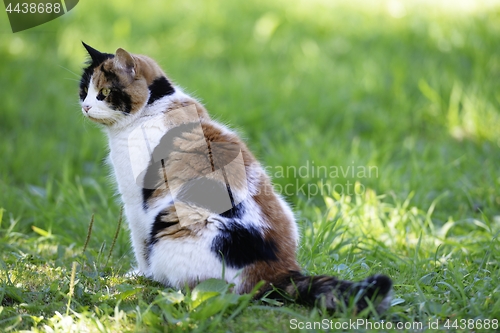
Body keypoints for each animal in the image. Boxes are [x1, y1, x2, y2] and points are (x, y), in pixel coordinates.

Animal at [79, 40, 390, 312]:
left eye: (104, 92)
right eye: (83, 90)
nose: (85, 106)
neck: (153, 108)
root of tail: (281, 272)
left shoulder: (135, 203)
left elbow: (140, 243)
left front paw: (140, 275)